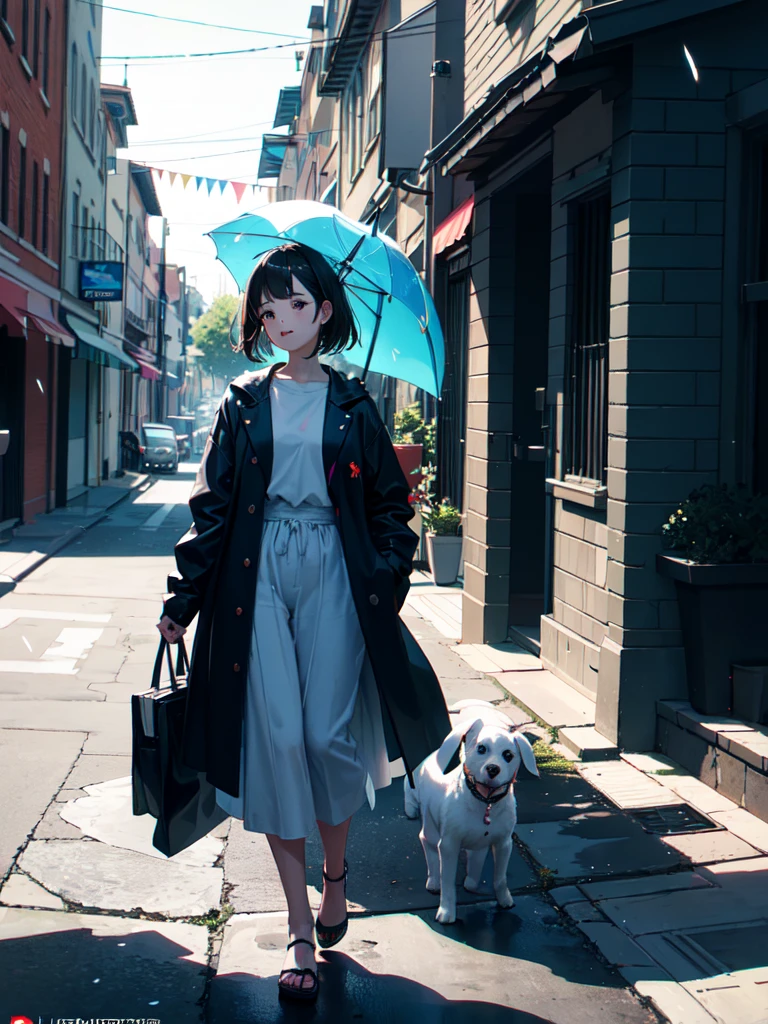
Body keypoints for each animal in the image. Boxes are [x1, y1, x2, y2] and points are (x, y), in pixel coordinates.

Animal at [403, 700, 540, 925]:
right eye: (481, 748)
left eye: (508, 755)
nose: (493, 769)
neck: (485, 801)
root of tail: (432, 756)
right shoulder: (448, 845)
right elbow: (448, 883)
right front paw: (446, 911)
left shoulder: (503, 844)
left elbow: (499, 878)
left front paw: (504, 900)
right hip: (430, 827)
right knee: (427, 844)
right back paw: (433, 880)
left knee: (475, 857)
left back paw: (471, 880)